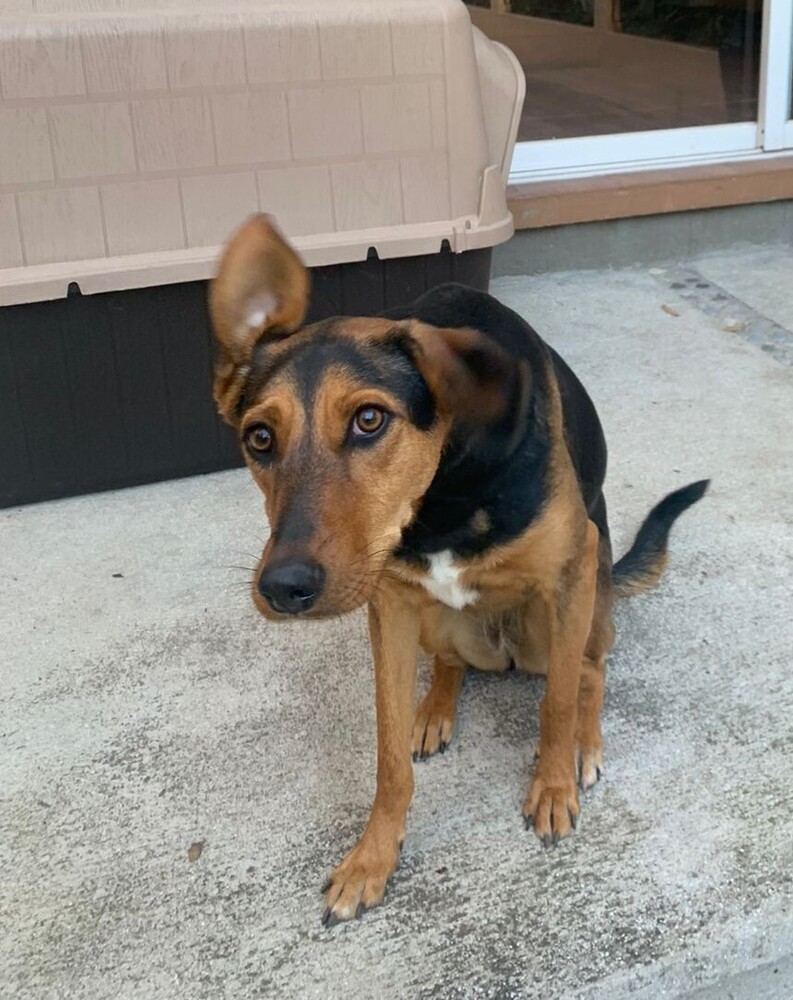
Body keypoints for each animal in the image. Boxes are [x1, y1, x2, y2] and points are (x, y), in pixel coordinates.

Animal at [207, 215, 708, 924]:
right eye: (259, 438)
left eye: (369, 419)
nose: (284, 588)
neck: (439, 497)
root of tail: (503, 655)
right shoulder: (388, 605)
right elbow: (389, 756)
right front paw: (372, 858)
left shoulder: (571, 567)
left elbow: (557, 702)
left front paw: (553, 784)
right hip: (435, 621)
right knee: (453, 663)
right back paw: (436, 709)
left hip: (563, 616)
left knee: (588, 669)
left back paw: (584, 742)